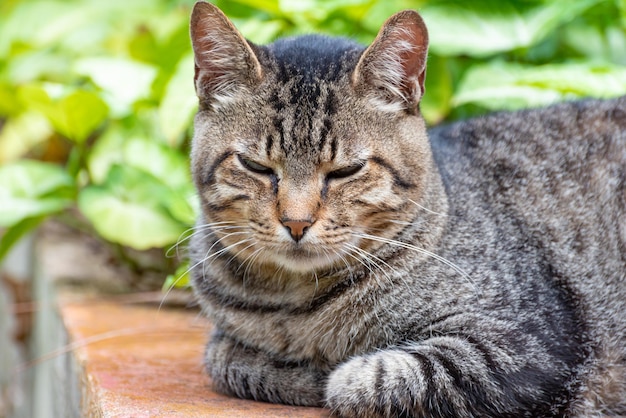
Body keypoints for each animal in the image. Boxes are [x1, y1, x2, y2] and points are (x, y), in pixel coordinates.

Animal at [186, 1, 624, 416]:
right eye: (256, 166)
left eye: (347, 171)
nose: (296, 222)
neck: (295, 308)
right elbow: (222, 357)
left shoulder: (523, 343)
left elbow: (363, 378)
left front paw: (324, 371)